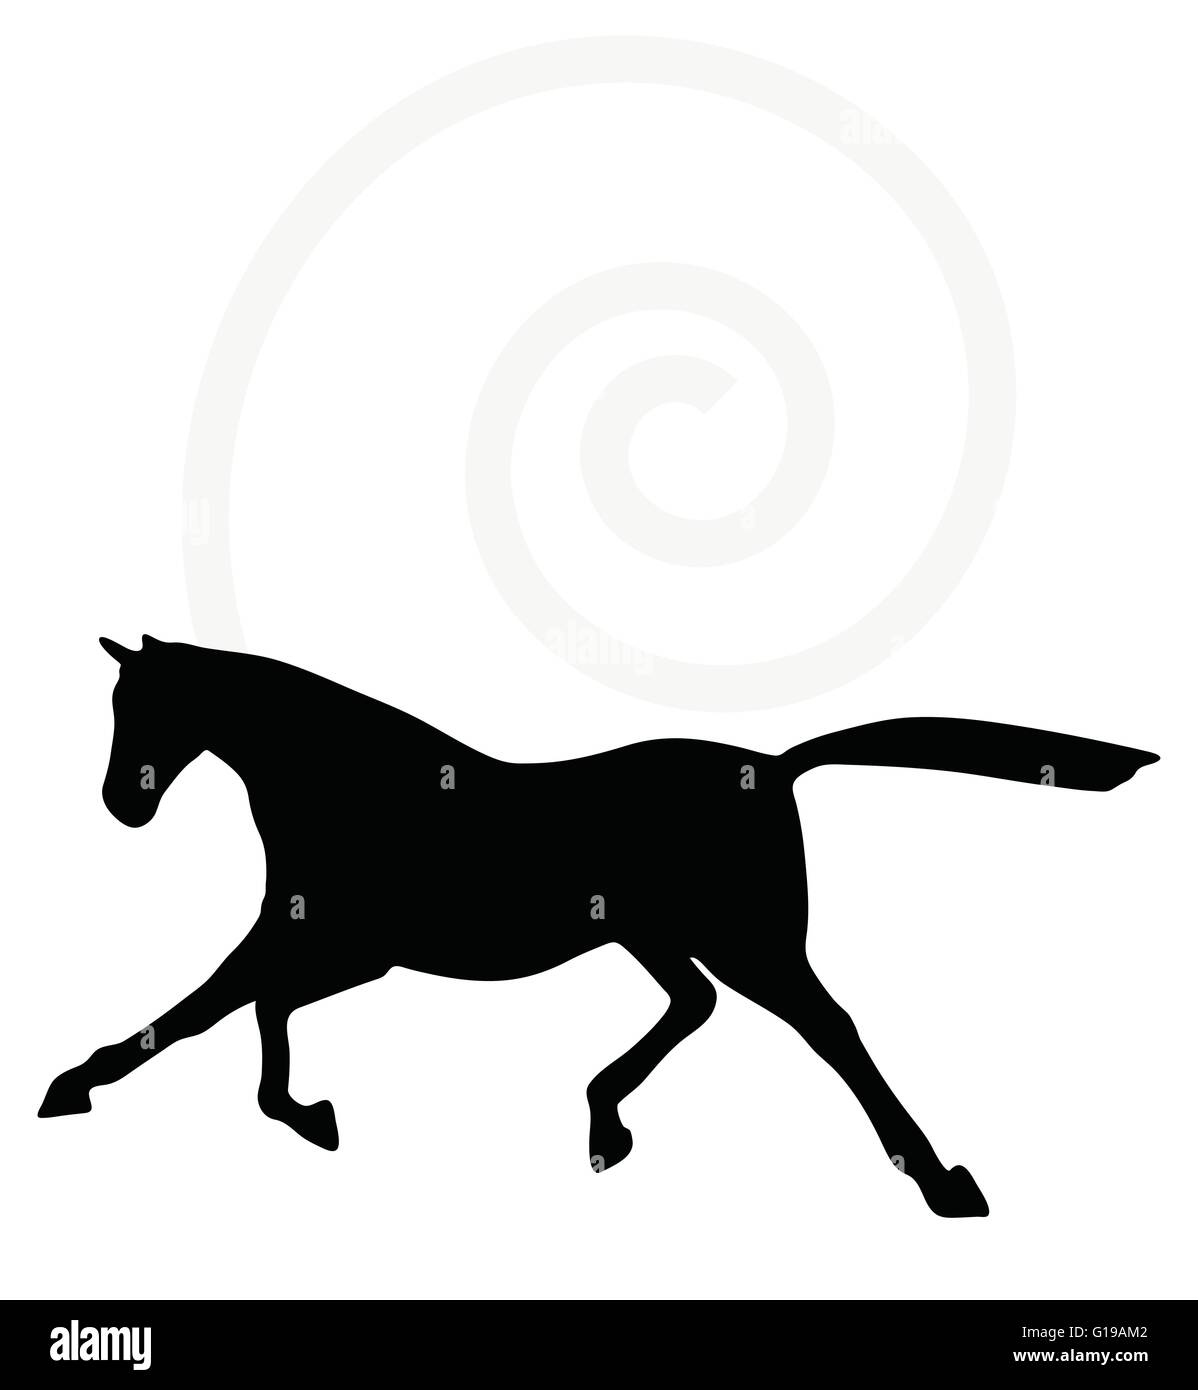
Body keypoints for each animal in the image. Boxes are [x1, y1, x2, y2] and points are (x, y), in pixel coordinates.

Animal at [39, 635, 1157, 1217]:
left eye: (146, 707)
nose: (121, 804)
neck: (344, 783)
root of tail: (774, 763)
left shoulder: (334, 940)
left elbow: (207, 1007)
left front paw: (70, 1086)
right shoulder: (354, 950)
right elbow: (257, 1008)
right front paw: (309, 1114)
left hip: (752, 941)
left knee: (828, 1028)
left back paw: (939, 1181)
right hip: (660, 936)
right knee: (694, 1005)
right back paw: (604, 1121)